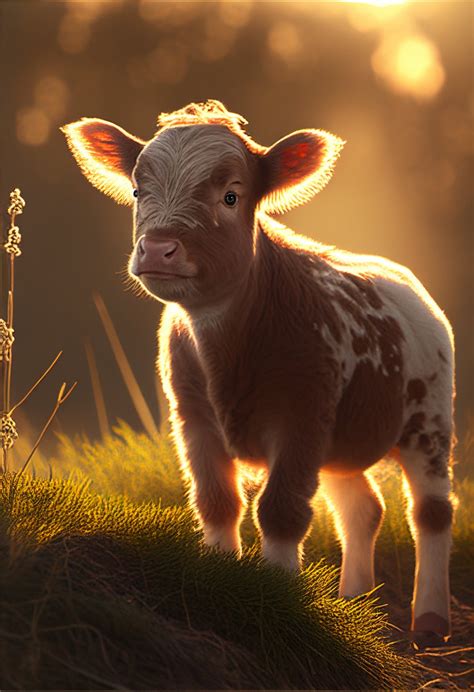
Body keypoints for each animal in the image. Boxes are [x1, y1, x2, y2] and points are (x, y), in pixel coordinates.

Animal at [62, 100, 455, 643]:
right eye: (139, 191)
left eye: (231, 196)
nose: (158, 247)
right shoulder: (193, 417)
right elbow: (216, 500)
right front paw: (219, 574)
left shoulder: (302, 416)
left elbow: (281, 510)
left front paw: (280, 596)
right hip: (341, 443)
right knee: (362, 507)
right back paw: (356, 598)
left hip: (429, 420)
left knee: (431, 511)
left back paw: (430, 621)